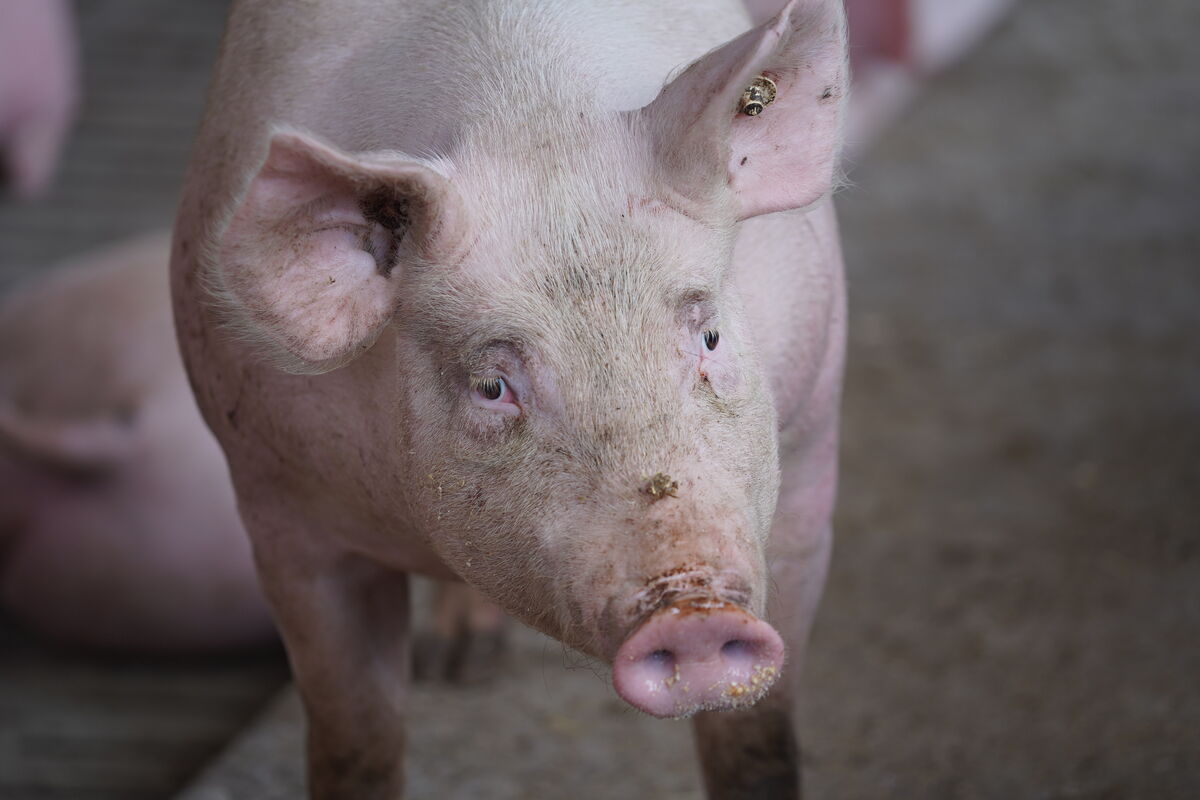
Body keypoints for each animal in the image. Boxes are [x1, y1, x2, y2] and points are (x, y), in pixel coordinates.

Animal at [169, 0, 849, 796]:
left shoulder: (809, 447)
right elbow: (356, 744)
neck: (527, 114)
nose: (693, 611)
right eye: (493, 386)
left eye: (709, 336)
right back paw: (455, 668)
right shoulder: (279, 509)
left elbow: (756, 740)